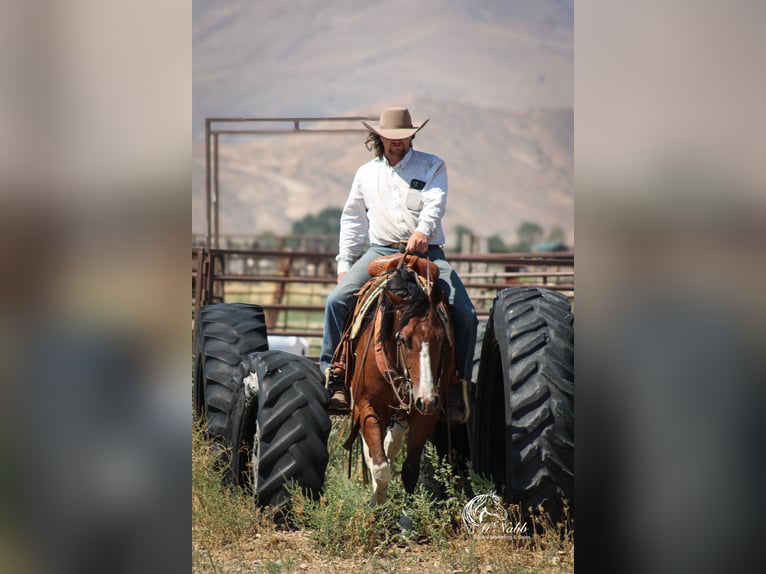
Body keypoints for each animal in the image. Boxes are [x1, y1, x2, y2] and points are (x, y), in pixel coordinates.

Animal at [342, 256, 458, 505]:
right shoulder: (367, 406)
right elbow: (380, 466)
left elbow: (410, 469)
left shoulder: (425, 415)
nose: (426, 399)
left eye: (441, 340)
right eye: (403, 340)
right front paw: (376, 504)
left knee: (392, 442)